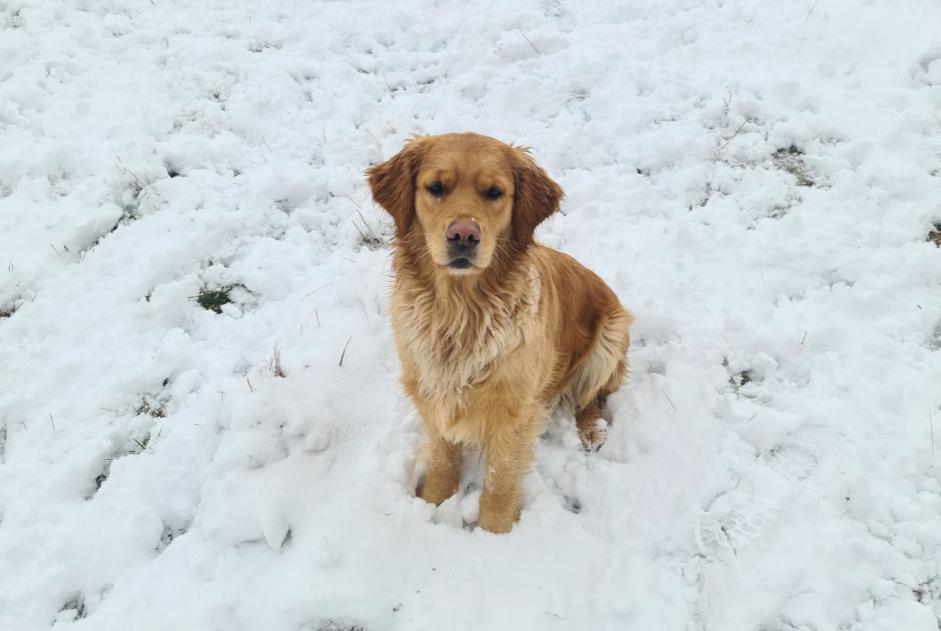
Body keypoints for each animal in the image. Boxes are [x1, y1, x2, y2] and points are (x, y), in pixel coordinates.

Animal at [366, 133, 632, 532]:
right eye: (435, 188)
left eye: (494, 192)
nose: (463, 234)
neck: (460, 313)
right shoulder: (430, 390)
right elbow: (442, 457)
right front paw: (432, 501)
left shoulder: (515, 411)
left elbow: (500, 477)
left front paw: (494, 532)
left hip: (610, 339)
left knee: (590, 397)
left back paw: (591, 431)